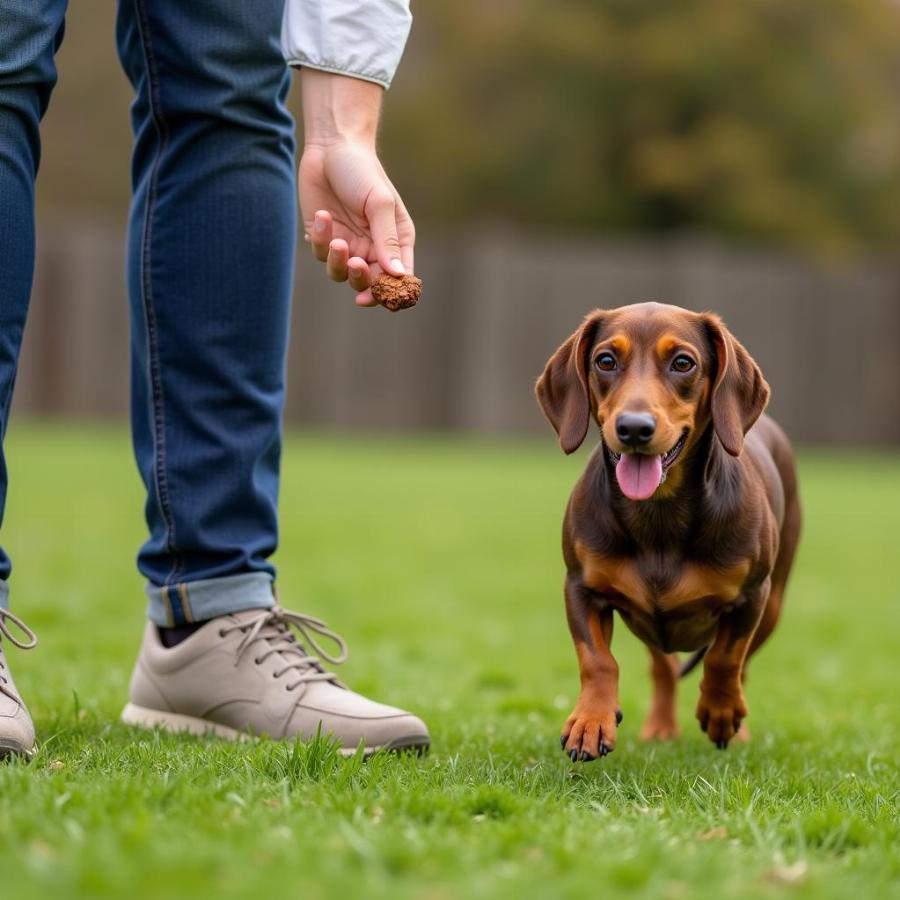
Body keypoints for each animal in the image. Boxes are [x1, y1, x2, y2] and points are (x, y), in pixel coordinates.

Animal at [536, 302, 800, 760]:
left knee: (741, 667)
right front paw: (591, 720)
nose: (633, 428)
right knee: (663, 667)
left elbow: (726, 658)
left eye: (683, 363)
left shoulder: (752, 596)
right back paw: (660, 727)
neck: (659, 514)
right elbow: (597, 660)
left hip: (774, 603)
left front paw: (720, 711)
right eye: (606, 360)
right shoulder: (581, 586)